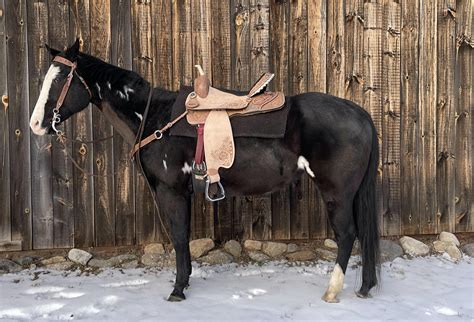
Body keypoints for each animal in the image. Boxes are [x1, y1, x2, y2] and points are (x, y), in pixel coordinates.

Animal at [29, 39, 380, 302]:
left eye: (59, 79)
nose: (35, 124)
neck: (153, 118)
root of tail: (360, 113)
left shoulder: (171, 192)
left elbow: (179, 237)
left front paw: (177, 289)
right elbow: (182, 237)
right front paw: (184, 283)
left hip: (337, 193)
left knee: (347, 235)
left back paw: (332, 291)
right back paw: (365, 287)